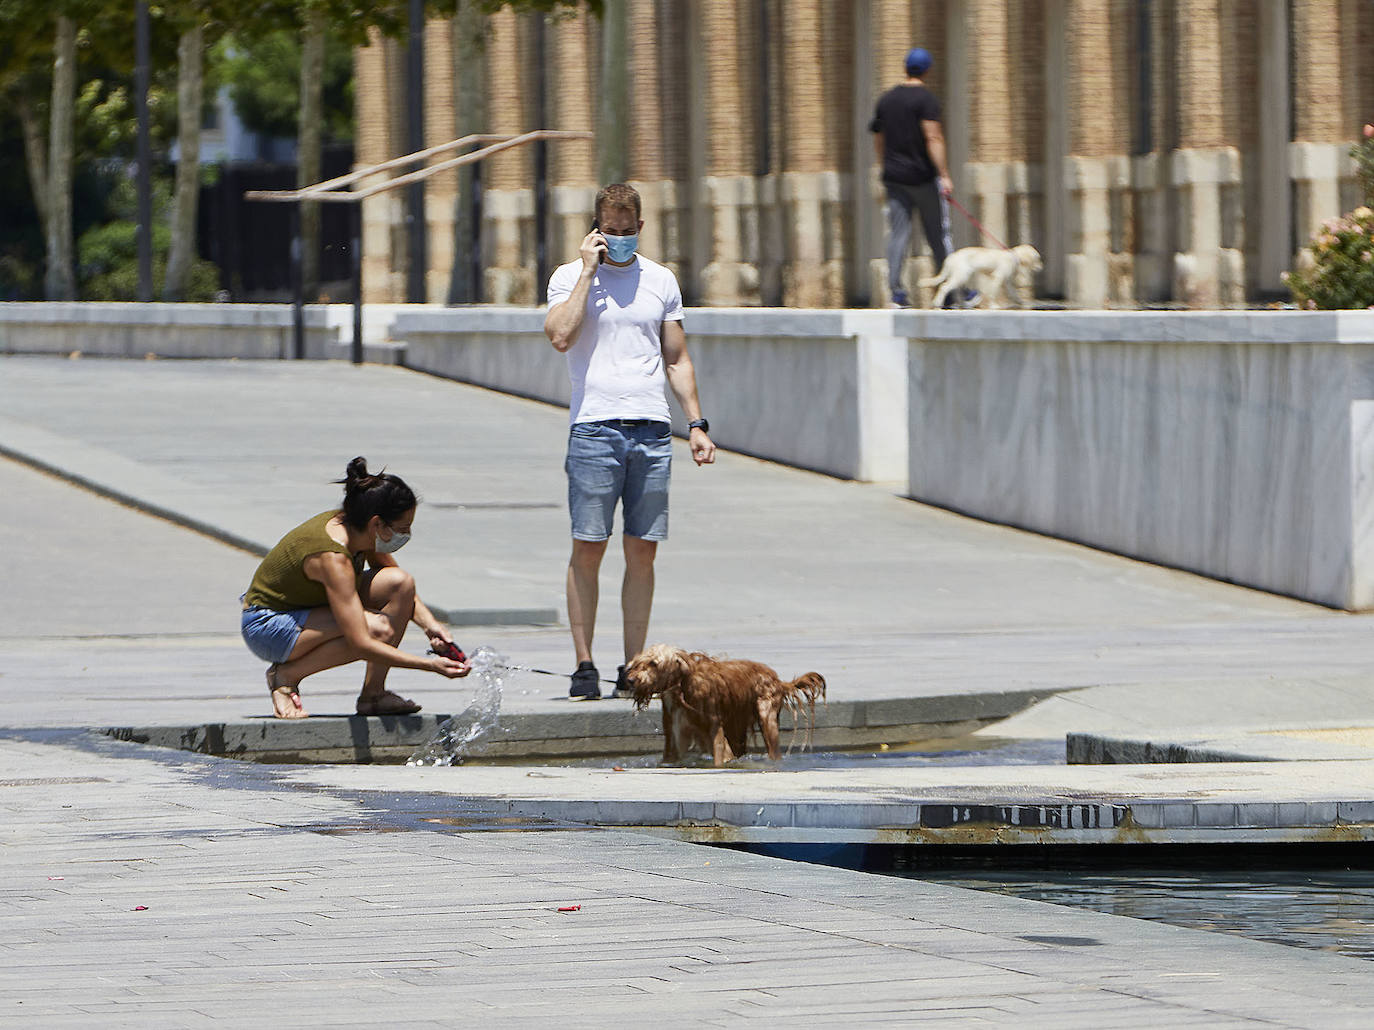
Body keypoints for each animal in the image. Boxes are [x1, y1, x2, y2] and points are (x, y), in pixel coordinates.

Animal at [626, 645, 824, 769]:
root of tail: (778, 680)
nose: (629, 680)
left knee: (773, 751)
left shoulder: (713, 728)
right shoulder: (673, 731)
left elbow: (720, 755)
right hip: (736, 726)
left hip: (766, 718)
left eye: (653, 663)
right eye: (637, 663)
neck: (683, 685)